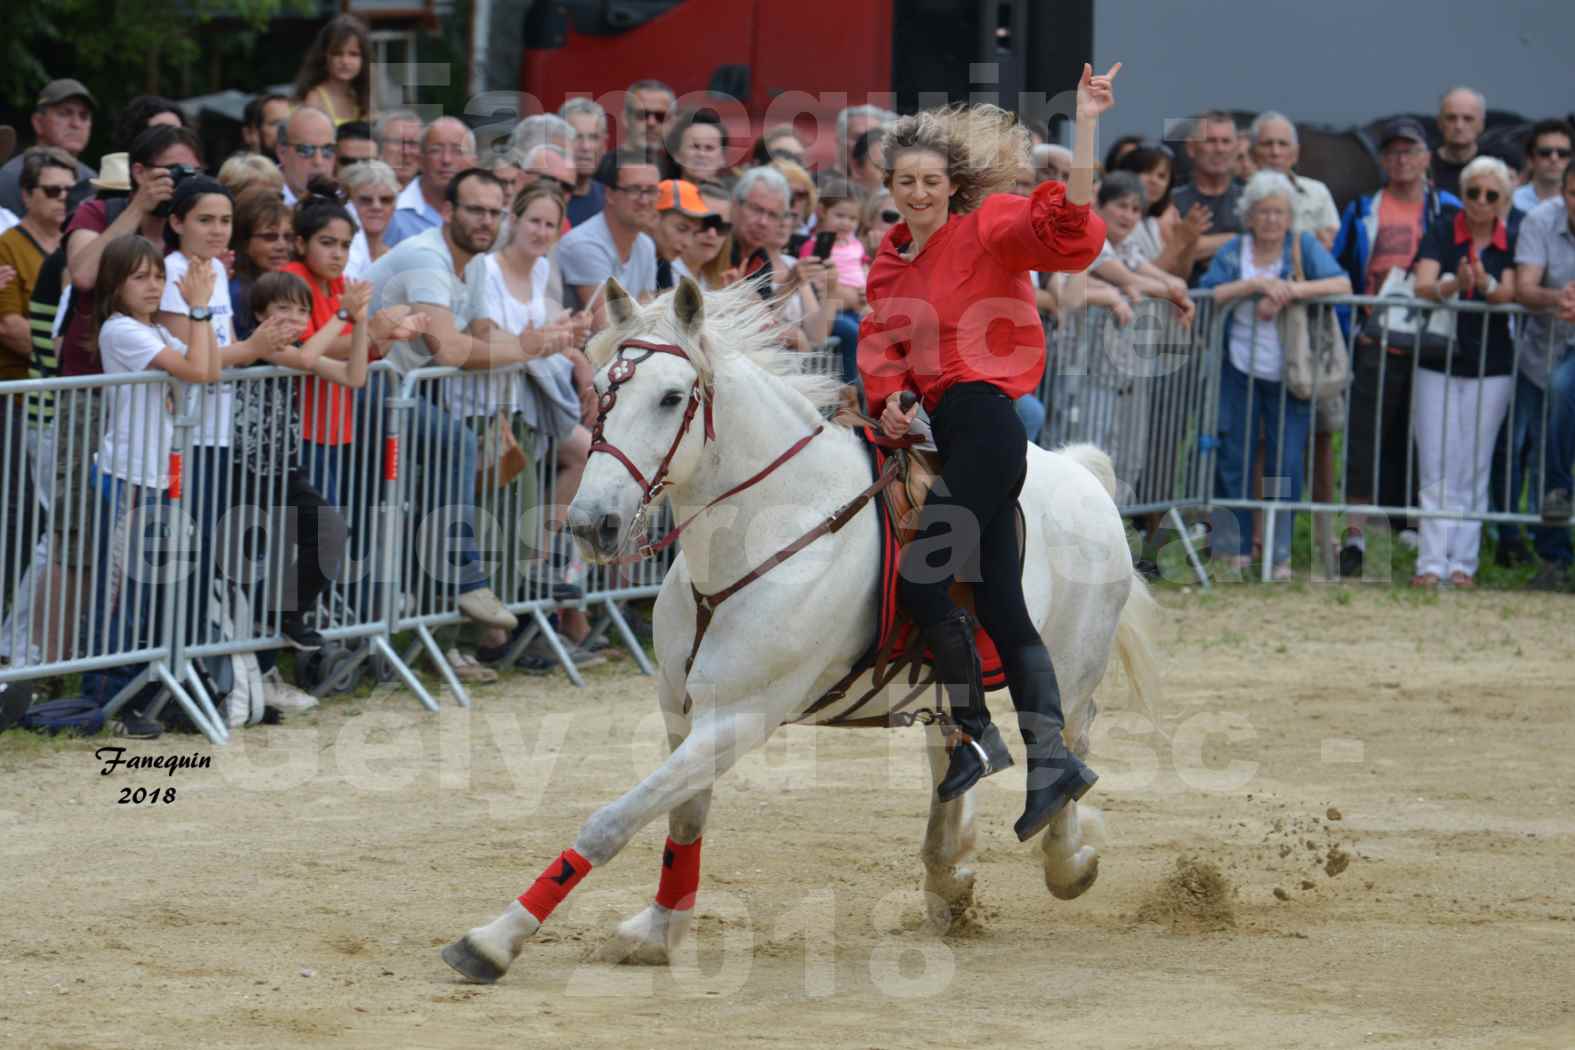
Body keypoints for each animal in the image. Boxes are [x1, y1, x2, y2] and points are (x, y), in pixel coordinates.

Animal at [441, 275, 1159, 982]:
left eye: (671, 398)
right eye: (600, 392)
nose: (593, 524)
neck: (771, 527)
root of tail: (1083, 476)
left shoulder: (740, 717)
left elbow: (612, 820)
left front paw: (494, 940)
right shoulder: (684, 713)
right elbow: (683, 818)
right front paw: (659, 928)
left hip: (1069, 667)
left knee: (1066, 744)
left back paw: (1066, 861)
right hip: (944, 688)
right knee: (955, 756)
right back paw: (947, 874)